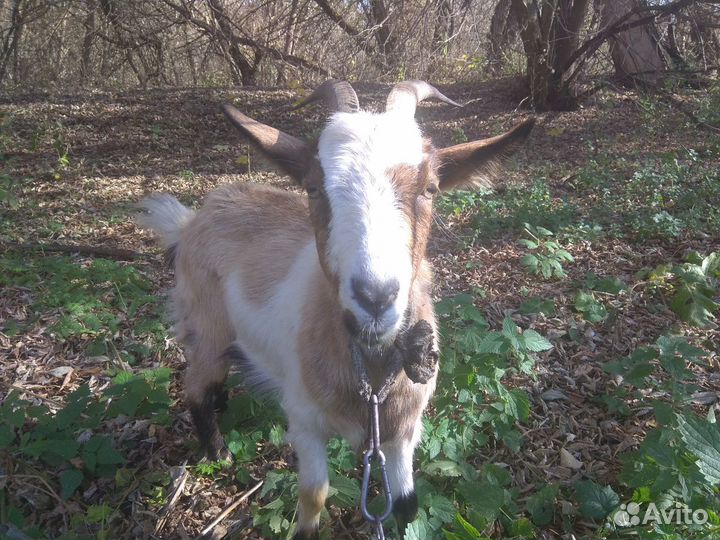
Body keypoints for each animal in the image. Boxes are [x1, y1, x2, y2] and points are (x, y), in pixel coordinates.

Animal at [137, 80, 533, 539]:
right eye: (312, 186)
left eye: (430, 188)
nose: (375, 298)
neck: (371, 383)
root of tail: (190, 222)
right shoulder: (305, 421)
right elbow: (314, 495)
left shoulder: (405, 431)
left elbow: (407, 505)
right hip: (206, 324)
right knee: (196, 385)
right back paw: (217, 450)